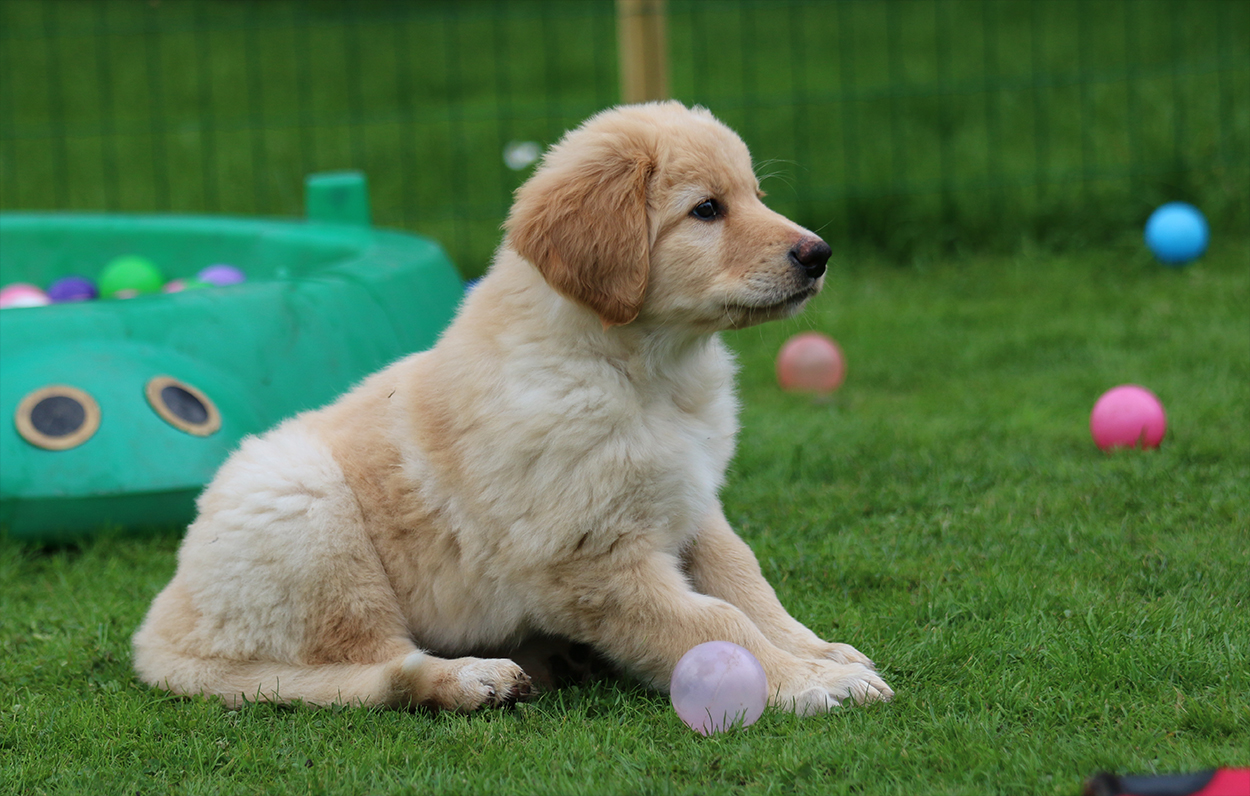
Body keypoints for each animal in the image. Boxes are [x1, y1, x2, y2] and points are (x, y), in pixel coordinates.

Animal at [132, 101, 894, 715]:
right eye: (706, 209)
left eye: (755, 195)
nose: (820, 254)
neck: (646, 373)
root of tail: (157, 629)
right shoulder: (593, 559)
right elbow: (714, 623)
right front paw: (806, 683)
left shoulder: (690, 501)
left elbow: (746, 583)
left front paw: (817, 652)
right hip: (308, 513)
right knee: (369, 667)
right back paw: (469, 680)